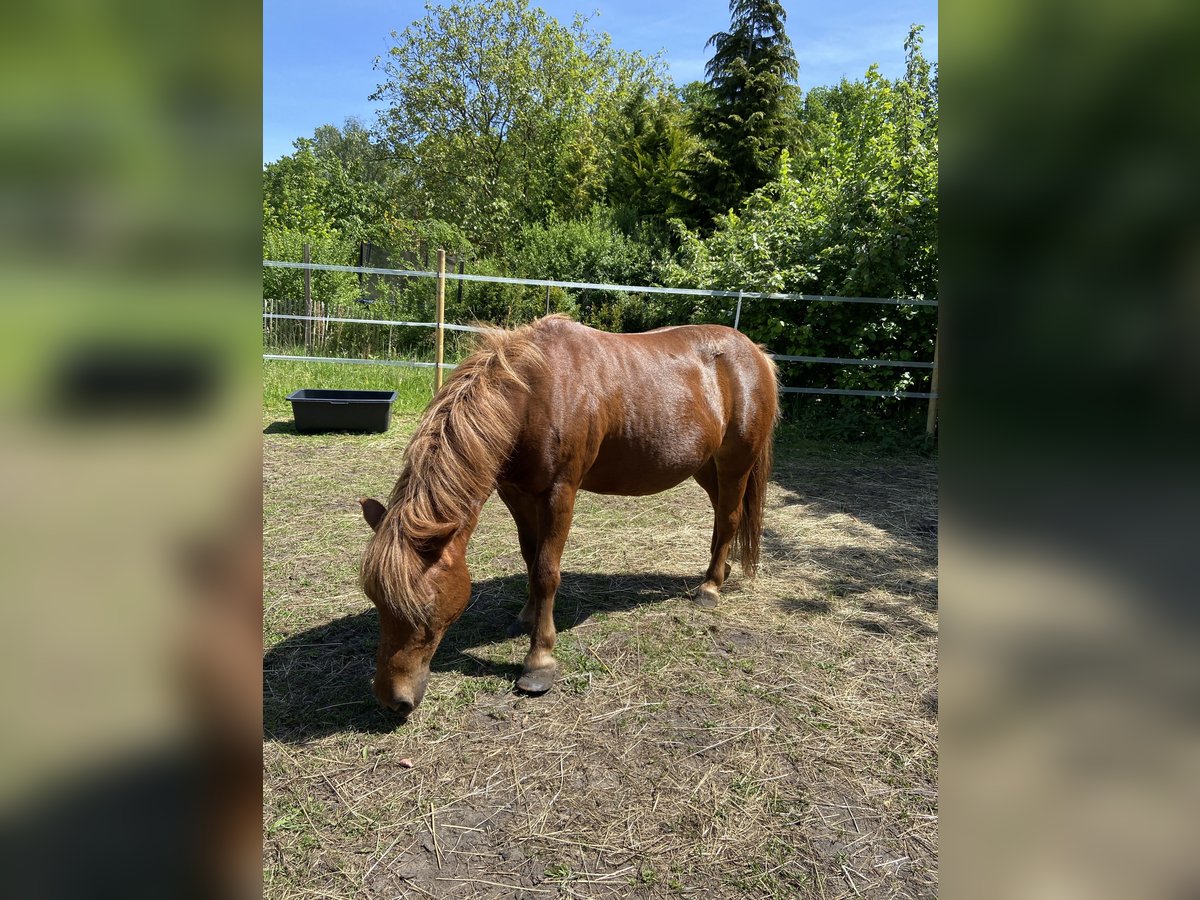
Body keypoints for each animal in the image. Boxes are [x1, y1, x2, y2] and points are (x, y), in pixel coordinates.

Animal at [357, 316, 777, 720]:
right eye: (376, 601)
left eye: (424, 612)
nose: (393, 700)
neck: (533, 394)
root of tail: (756, 353)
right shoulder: (516, 493)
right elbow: (530, 558)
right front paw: (526, 617)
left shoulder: (560, 492)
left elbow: (546, 571)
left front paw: (538, 662)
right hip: (705, 466)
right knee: (721, 515)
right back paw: (716, 573)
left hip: (735, 462)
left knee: (730, 517)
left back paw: (710, 587)